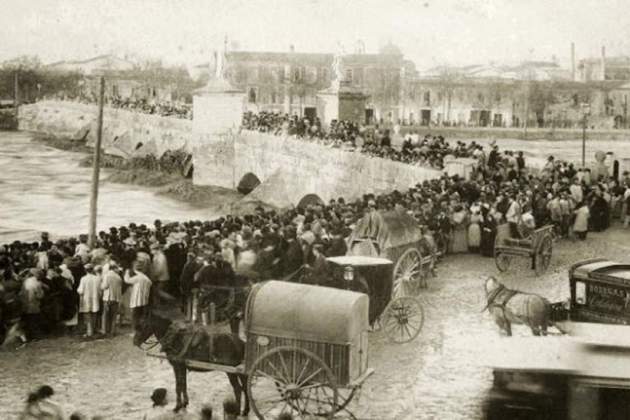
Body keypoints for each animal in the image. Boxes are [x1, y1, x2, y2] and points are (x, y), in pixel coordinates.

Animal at [134, 278, 252, 414]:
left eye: (142, 324)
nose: (134, 341)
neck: (174, 336)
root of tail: (240, 342)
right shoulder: (183, 367)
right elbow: (183, 385)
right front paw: (185, 404)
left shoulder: (177, 366)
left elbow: (178, 386)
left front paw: (177, 407)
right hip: (239, 371)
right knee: (245, 388)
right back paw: (245, 410)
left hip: (231, 372)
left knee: (238, 389)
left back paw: (236, 411)